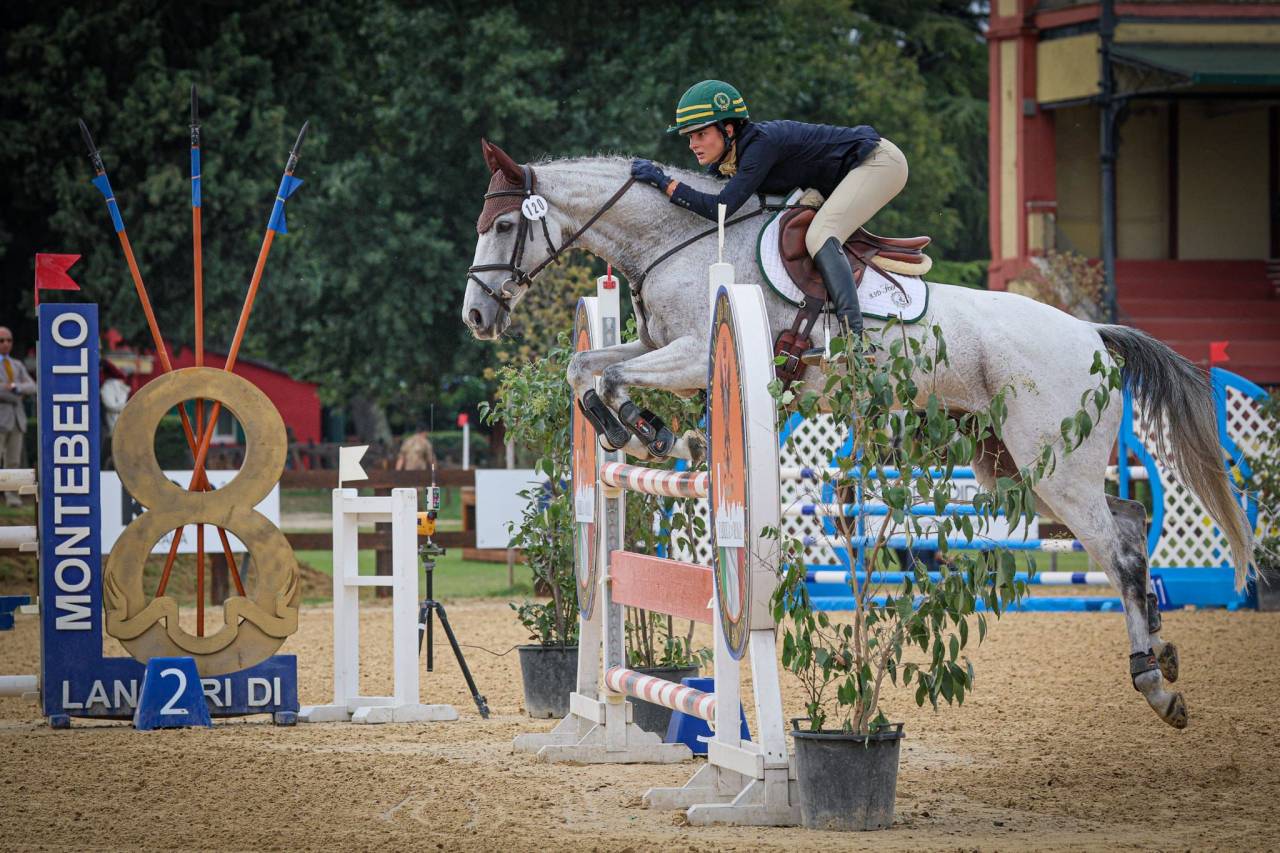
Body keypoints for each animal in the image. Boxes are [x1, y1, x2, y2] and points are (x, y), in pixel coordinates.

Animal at [461, 139, 1254, 729]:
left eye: (501, 226)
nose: (476, 315)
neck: (677, 241)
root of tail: (1092, 333)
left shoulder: (692, 355)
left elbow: (613, 382)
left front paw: (656, 434)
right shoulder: (666, 352)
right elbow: (586, 367)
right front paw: (649, 432)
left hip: (1054, 467)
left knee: (1116, 547)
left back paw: (1155, 683)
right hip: (1025, 472)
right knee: (1131, 520)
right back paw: (1163, 647)